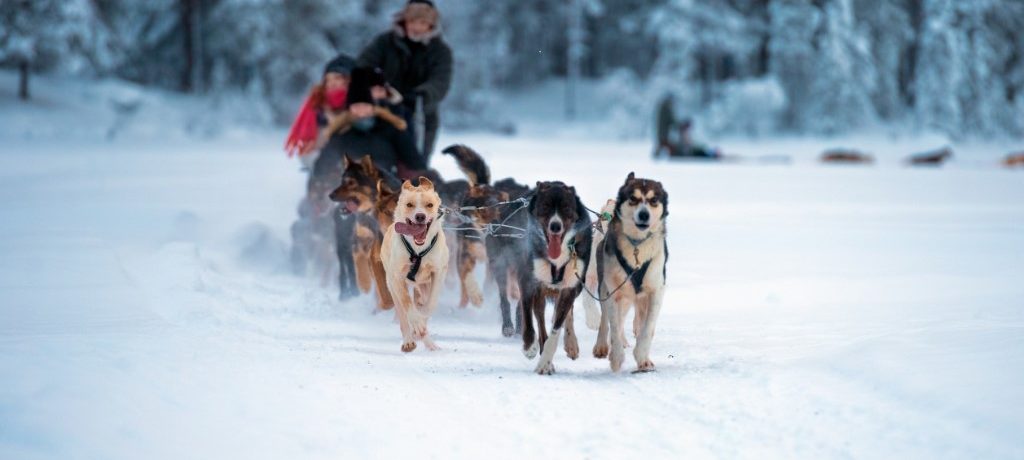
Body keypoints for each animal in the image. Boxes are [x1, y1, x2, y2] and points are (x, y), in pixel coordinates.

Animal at [380, 176, 448, 352]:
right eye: (409, 204)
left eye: (429, 205)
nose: (420, 216)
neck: (418, 250)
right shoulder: (397, 278)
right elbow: (407, 304)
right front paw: (417, 324)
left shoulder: (439, 272)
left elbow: (430, 304)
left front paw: (422, 321)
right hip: (392, 286)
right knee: (403, 316)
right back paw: (409, 341)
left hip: (424, 285)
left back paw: (430, 344)